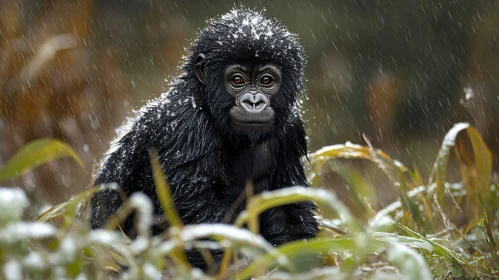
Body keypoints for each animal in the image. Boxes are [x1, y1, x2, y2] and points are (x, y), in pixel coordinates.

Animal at [91, 8, 318, 270]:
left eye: (266, 80)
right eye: (237, 80)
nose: (254, 102)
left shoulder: (291, 129)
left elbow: (287, 209)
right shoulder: (185, 127)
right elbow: (200, 226)